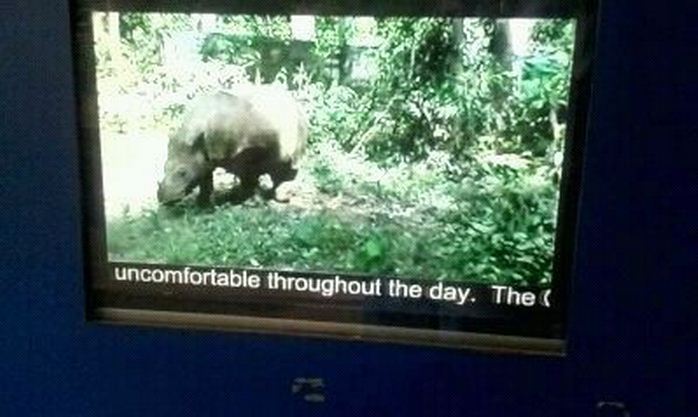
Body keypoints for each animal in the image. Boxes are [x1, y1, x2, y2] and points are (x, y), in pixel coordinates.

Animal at [157, 85, 308, 206]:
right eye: (164, 167)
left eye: (182, 173)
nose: (165, 199)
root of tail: (295, 102)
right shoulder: (205, 156)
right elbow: (205, 178)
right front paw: (202, 205)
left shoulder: (241, 153)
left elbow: (246, 175)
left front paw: (243, 200)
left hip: (296, 124)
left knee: (287, 163)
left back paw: (282, 197)